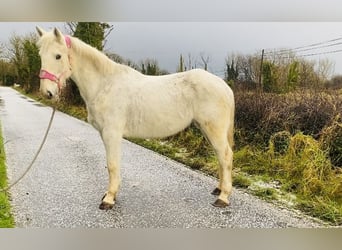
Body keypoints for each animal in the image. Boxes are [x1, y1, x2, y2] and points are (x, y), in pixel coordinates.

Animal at [36, 27, 235, 210]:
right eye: (40, 55)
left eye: (58, 56)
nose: (47, 92)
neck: (105, 85)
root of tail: (224, 86)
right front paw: (110, 195)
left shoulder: (111, 133)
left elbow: (112, 165)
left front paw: (109, 199)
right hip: (206, 129)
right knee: (220, 156)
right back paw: (218, 189)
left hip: (213, 129)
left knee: (225, 155)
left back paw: (223, 197)